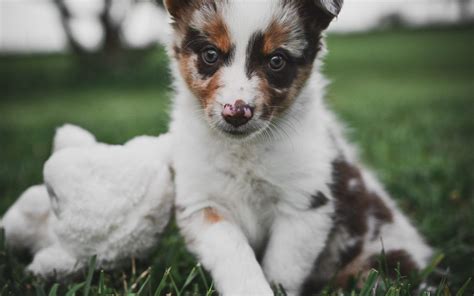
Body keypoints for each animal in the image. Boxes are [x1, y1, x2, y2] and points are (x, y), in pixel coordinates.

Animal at [165, 1, 432, 294]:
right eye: (210, 54)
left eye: (276, 60)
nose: (236, 113)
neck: (246, 148)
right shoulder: (204, 204)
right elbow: (235, 257)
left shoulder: (305, 202)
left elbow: (282, 268)